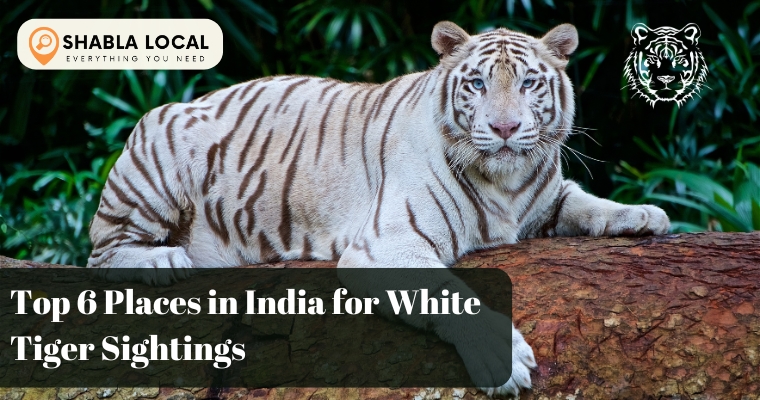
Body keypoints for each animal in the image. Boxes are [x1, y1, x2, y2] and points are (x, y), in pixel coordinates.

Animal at [88, 21, 670, 396]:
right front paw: (502, 360)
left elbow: (586, 202)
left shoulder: (546, 198)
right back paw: (163, 261)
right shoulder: (388, 242)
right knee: (102, 254)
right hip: (159, 152)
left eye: (528, 82)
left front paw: (646, 214)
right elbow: (451, 295)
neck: (506, 182)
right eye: (477, 83)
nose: (505, 128)